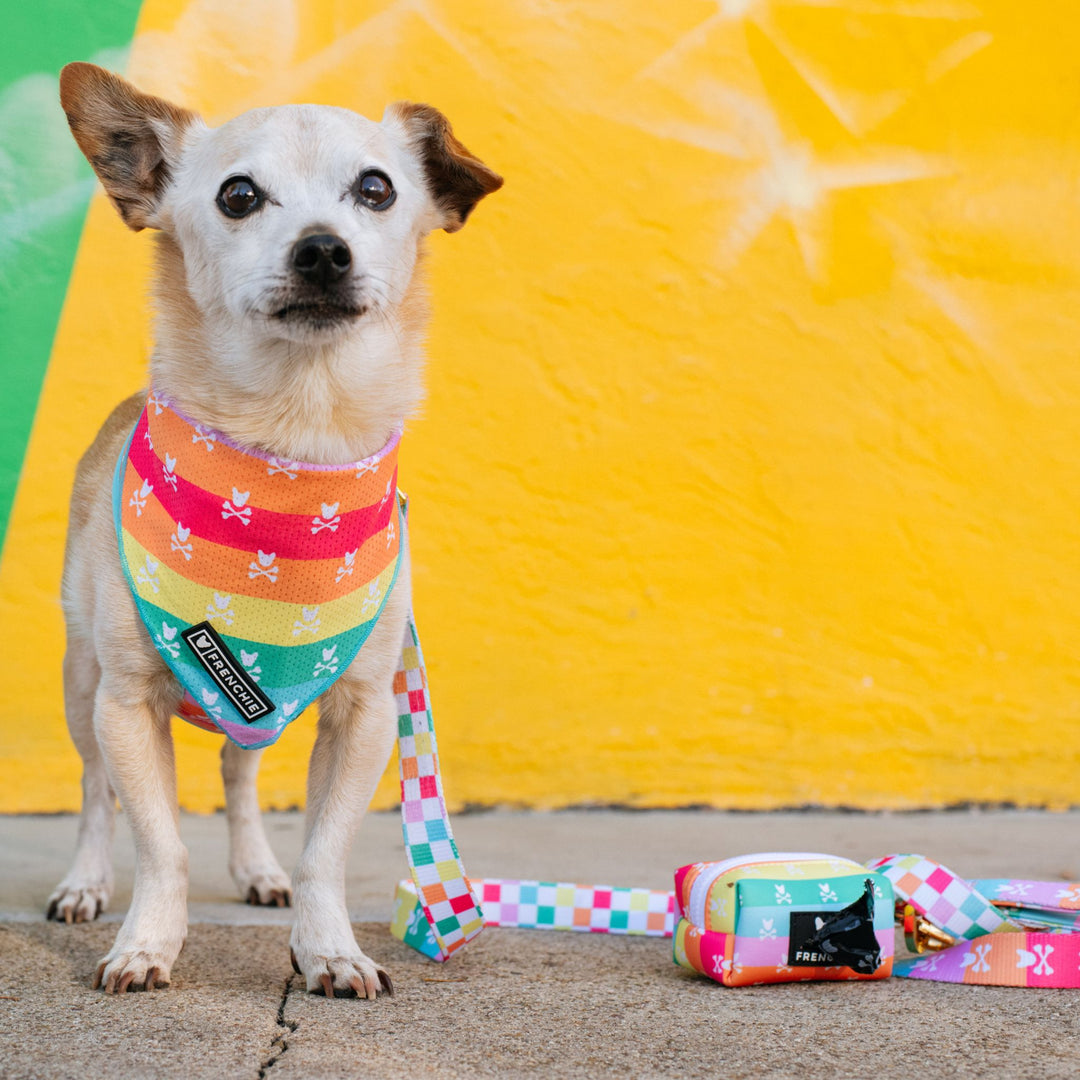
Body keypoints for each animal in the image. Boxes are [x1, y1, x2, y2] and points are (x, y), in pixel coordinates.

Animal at [50, 61, 501, 993]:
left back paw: (257, 868)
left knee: (238, 773)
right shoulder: (125, 707)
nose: (323, 249)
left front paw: (328, 948)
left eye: (376, 189)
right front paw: (146, 944)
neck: (293, 450)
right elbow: (161, 847)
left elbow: (322, 853)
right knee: (94, 794)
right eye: (239, 195)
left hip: (251, 711)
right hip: (82, 684)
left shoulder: (364, 714)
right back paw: (85, 883)